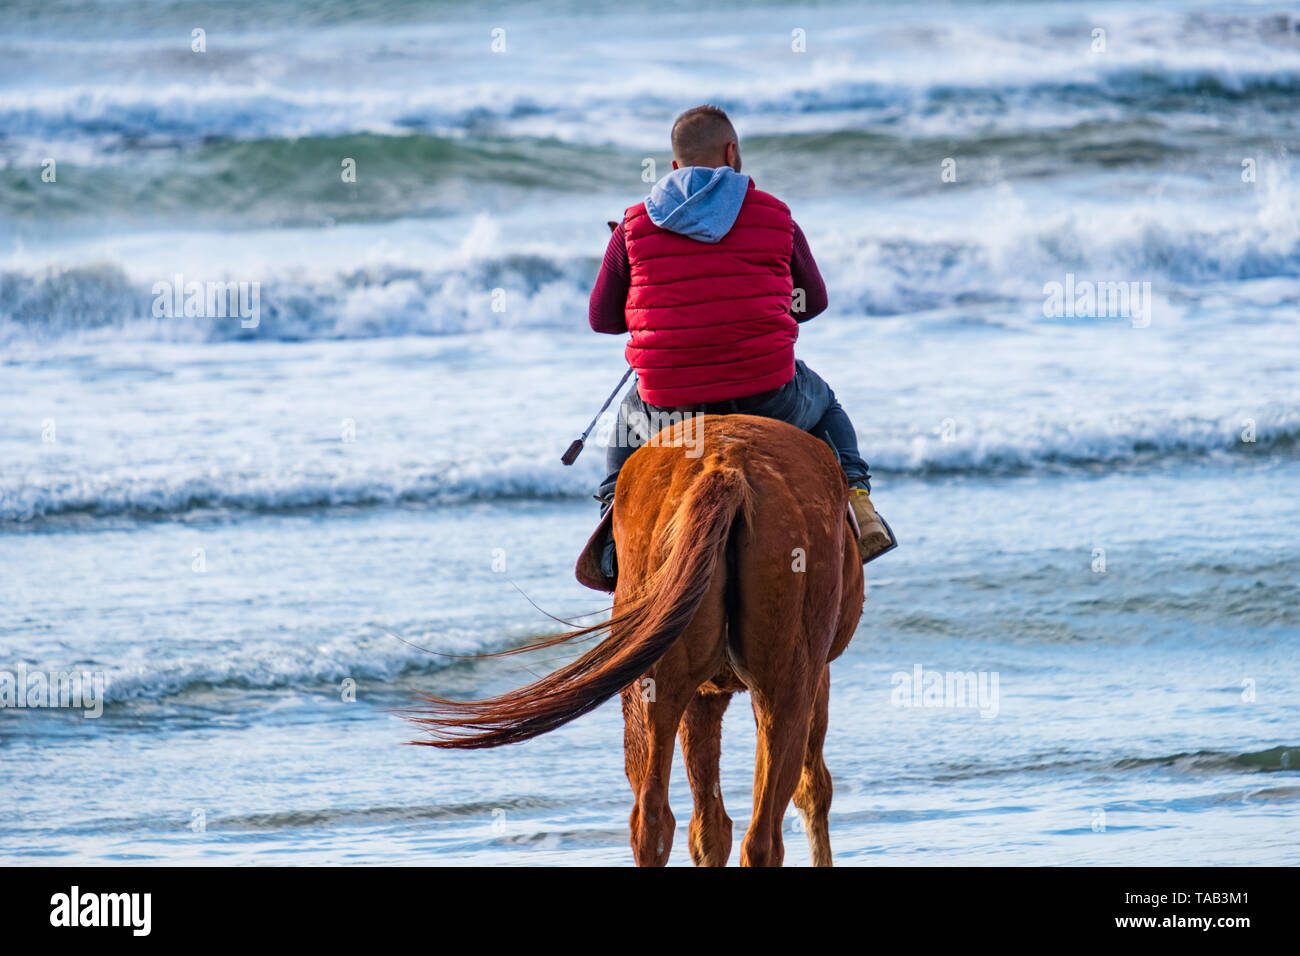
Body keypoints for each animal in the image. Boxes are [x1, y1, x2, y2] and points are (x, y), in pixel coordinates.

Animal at [410, 413, 868, 868]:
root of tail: (725, 468)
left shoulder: (703, 693)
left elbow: (709, 829)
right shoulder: (807, 678)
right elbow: (808, 792)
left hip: (658, 686)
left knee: (654, 820)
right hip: (784, 686)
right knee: (763, 835)